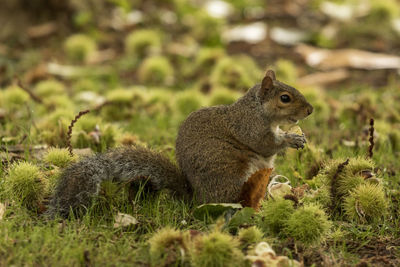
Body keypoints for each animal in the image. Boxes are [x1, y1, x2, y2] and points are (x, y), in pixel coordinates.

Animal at [47, 70, 312, 218]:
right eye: (285, 98)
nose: (310, 110)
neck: (256, 109)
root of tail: (197, 199)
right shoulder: (250, 128)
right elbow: (265, 144)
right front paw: (291, 139)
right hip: (233, 175)